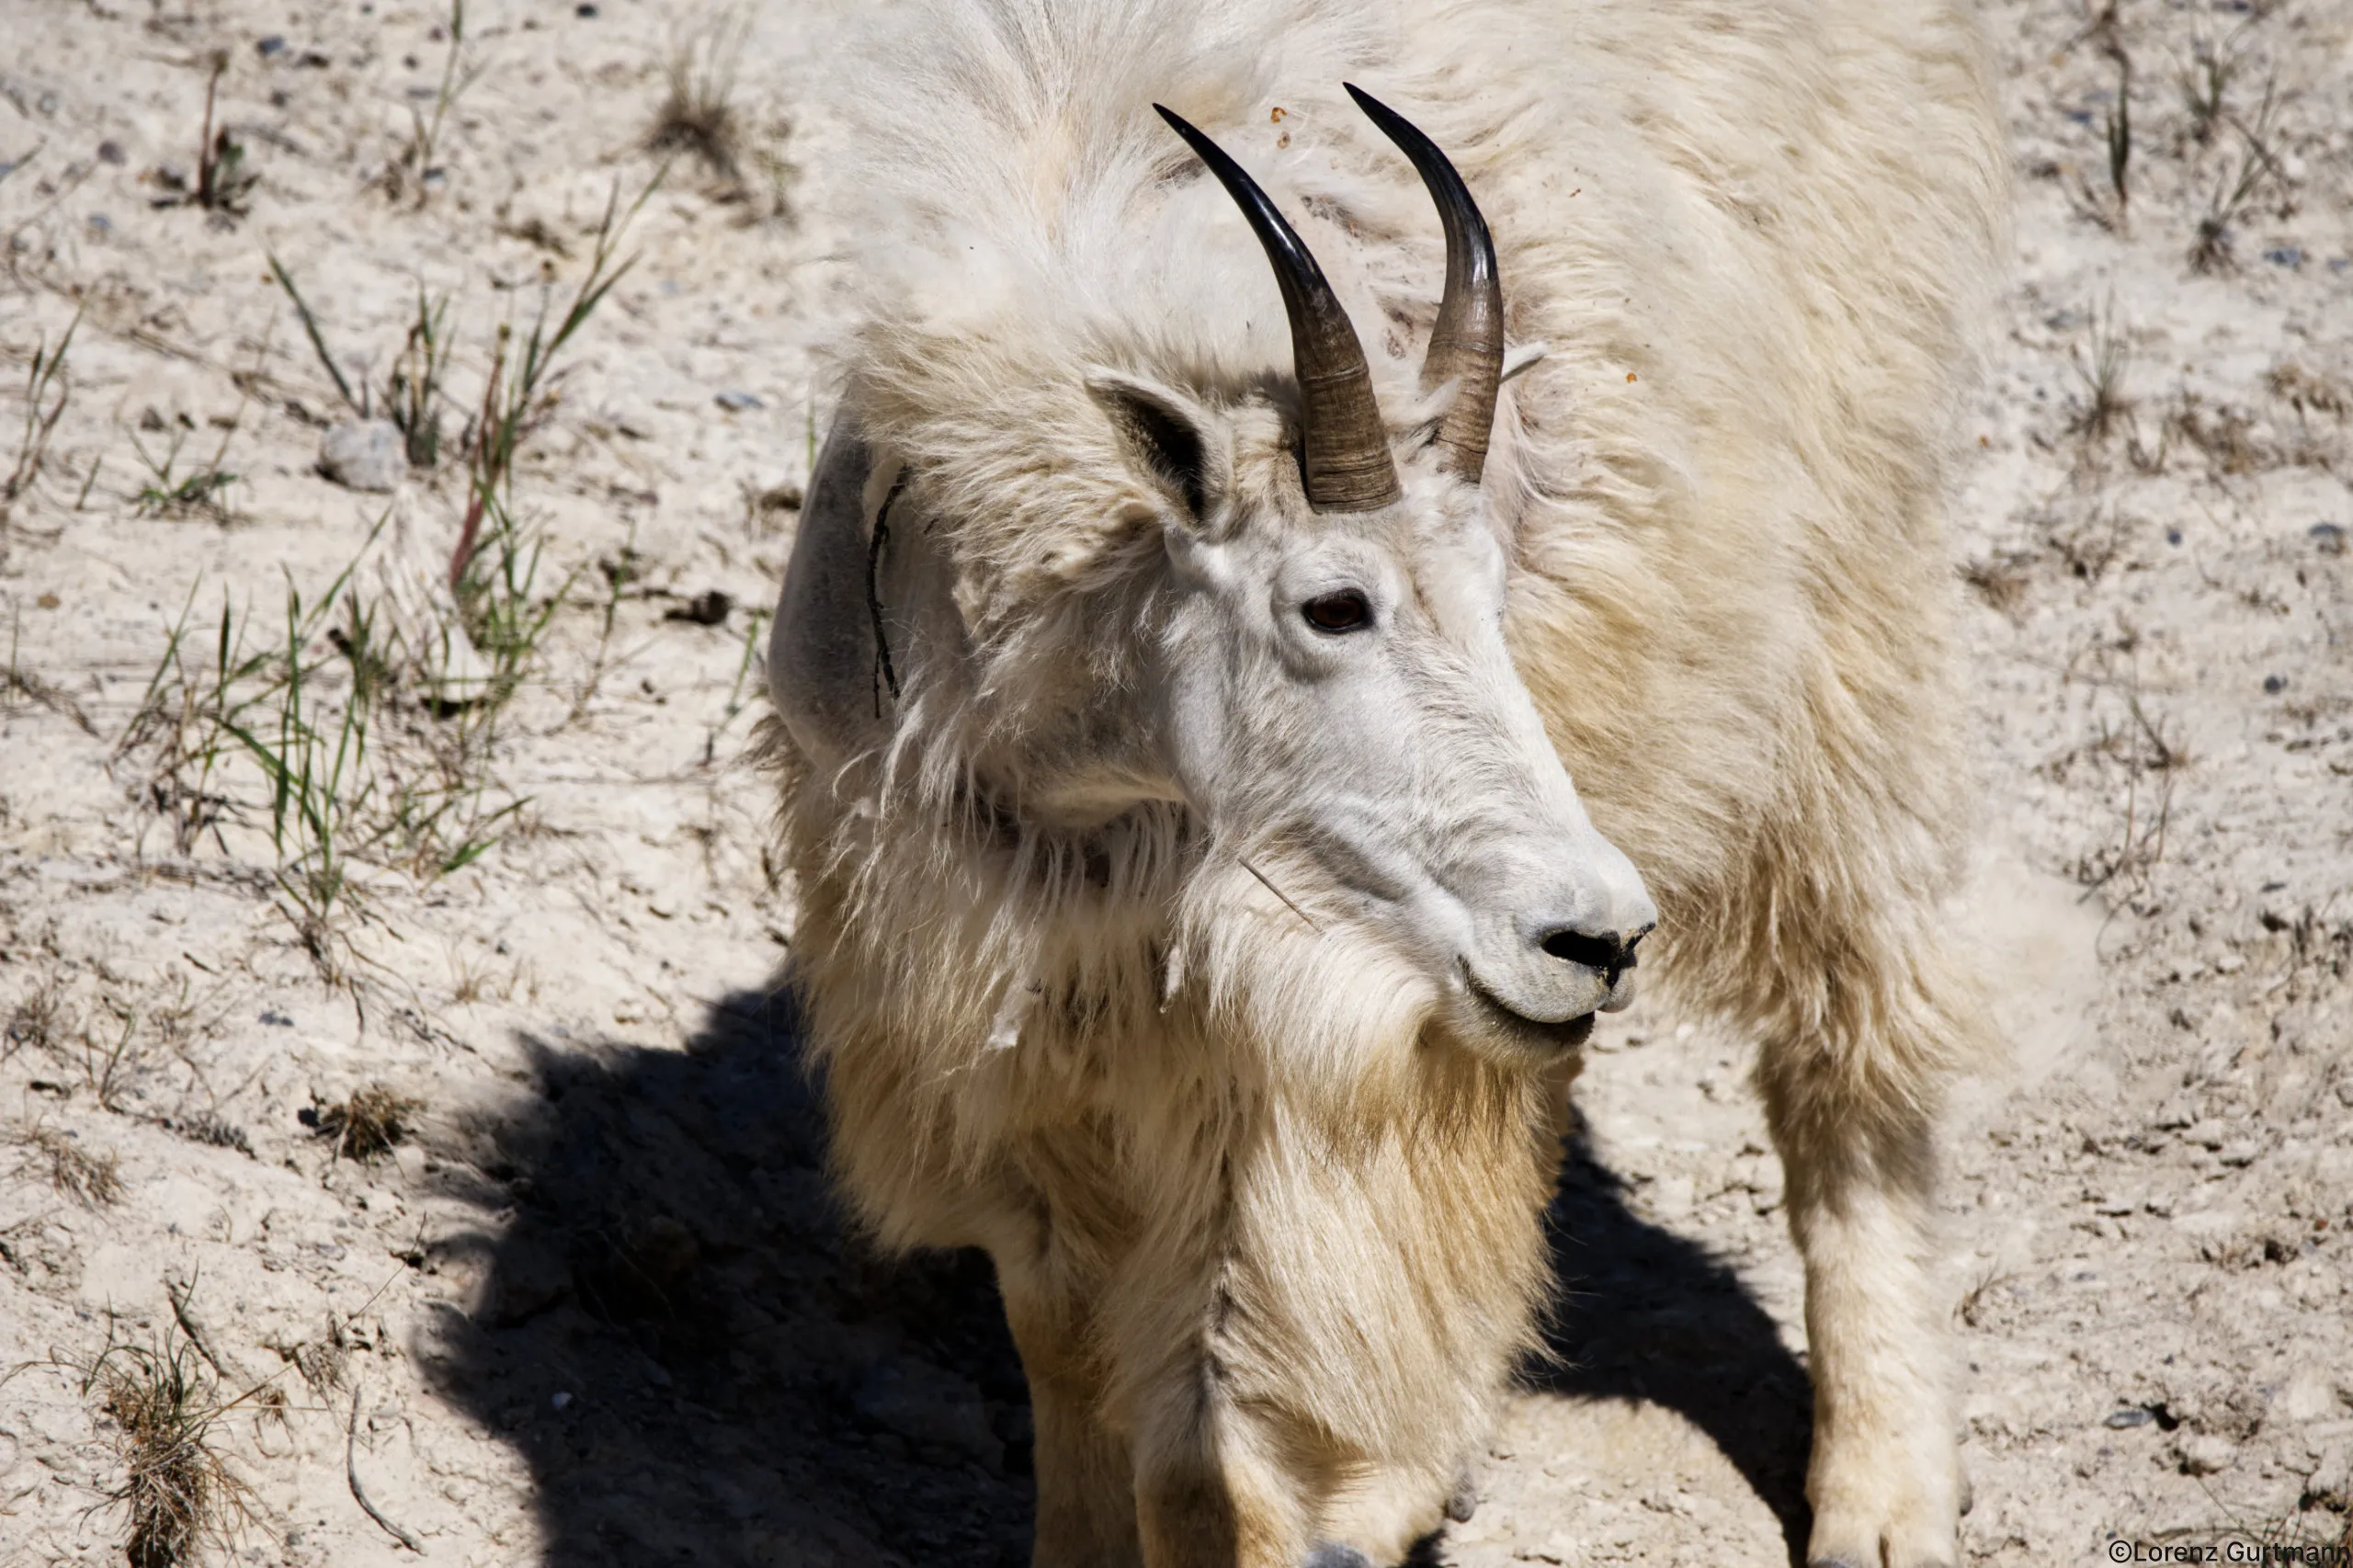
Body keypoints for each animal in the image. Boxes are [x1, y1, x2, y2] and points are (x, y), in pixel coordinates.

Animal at [767, 3, 2005, 1562]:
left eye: (1493, 592)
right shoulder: (1009, 1006)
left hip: (1847, 590)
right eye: (1335, 604)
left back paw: (1883, 1495)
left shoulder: (1268, 1063)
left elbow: (1211, 1434)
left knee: (1860, 1016)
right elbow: (1061, 1329)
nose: (1598, 933)